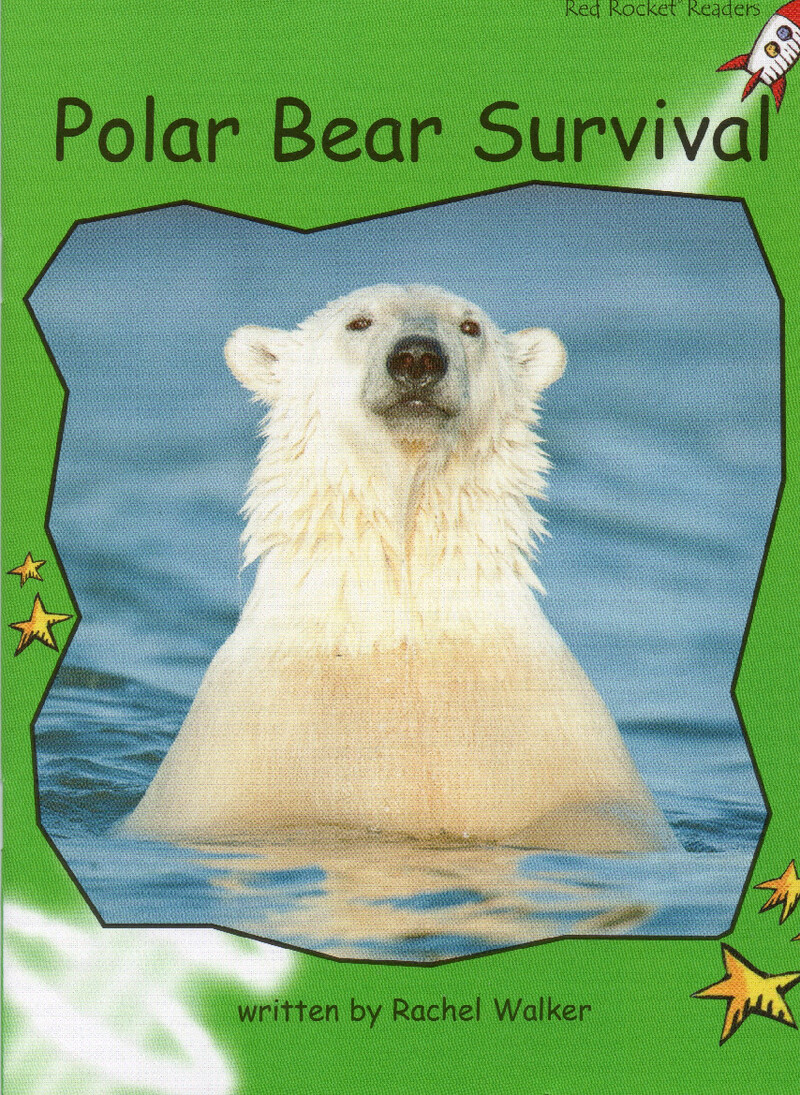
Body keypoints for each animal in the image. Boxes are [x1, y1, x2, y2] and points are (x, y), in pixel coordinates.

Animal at [125, 284, 675, 852]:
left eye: (470, 326)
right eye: (358, 322)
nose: (417, 357)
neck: (401, 629)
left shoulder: (551, 747)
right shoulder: (243, 760)